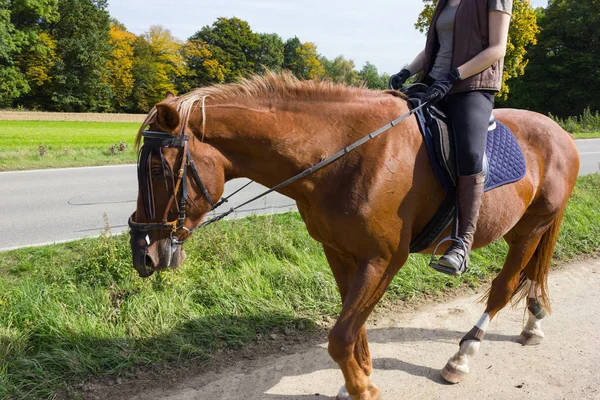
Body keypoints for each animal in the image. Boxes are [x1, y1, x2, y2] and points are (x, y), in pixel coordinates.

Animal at [127, 72, 580, 400]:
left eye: (157, 169)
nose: (143, 254)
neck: (345, 155)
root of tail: (560, 133)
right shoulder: (340, 252)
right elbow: (353, 327)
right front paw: (357, 379)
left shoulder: (383, 259)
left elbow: (342, 335)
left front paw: (362, 387)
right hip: (520, 229)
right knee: (531, 274)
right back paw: (534, 322)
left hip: (533, 227)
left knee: (504, 287)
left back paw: (462, 357)